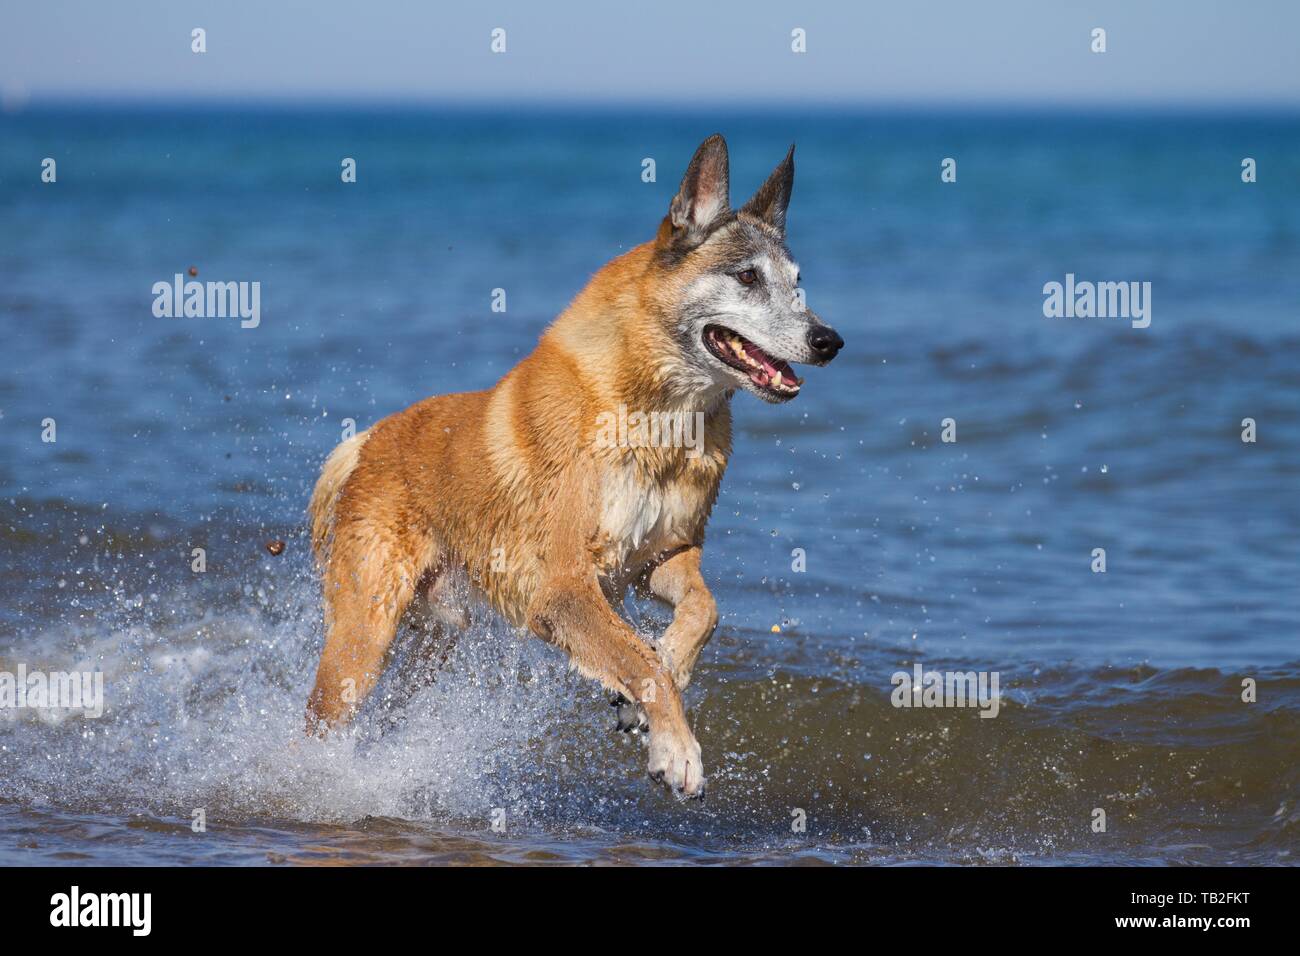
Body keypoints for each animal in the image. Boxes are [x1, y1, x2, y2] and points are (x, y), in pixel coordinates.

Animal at [309, 130, 847, 796]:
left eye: (799, 283)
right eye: (747, 276)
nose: (829, 341)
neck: (656, 414)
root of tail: (369, 440)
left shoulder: (659, 558)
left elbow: (703, 612)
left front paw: (663, 671)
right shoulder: (564, 586)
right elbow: (638, 662)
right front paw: (676, 749)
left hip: (438, 634)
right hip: (364, 634)